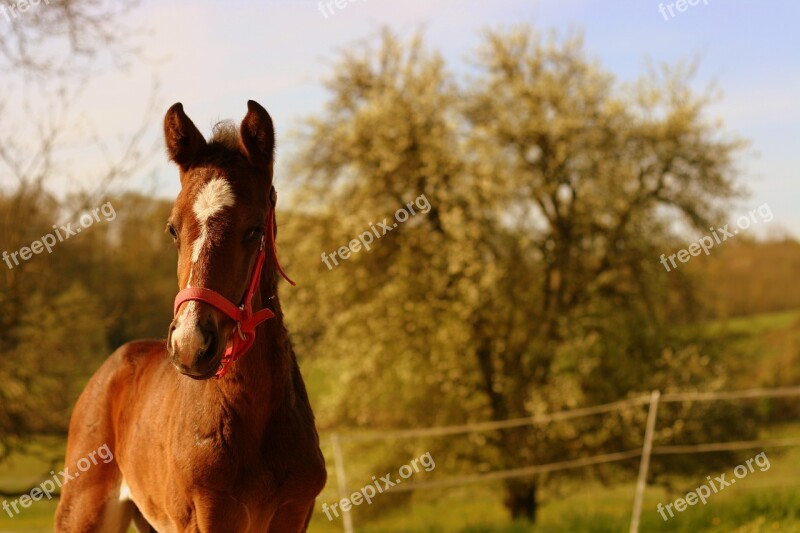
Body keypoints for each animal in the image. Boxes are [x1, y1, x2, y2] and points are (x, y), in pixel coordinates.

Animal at [54, 101, 326, 532]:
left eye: (254, 229)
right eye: (171, 228)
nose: (190, 345)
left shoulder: (295, 514)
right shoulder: (205, 517)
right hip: (83, 511)